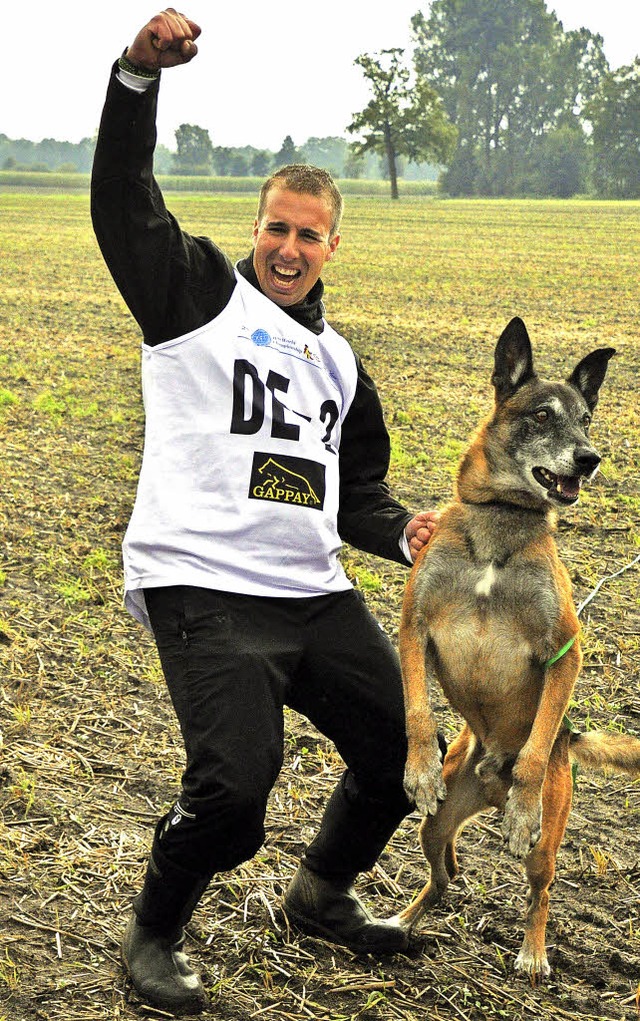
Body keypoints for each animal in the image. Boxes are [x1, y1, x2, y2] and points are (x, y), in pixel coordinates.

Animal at [396, 318, 640, 980]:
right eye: (541, 414)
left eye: (587, 419)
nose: (590, 458)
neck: (499, 527)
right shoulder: (414, 626)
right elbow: (417, 711)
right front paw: (419, 767)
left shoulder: (565, 652)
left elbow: (529, 766)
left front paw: (523, 807)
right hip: (436, 824)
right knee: (445, 873)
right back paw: (403, 920)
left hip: (546, 847)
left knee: (541, 891)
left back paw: (532, 951)